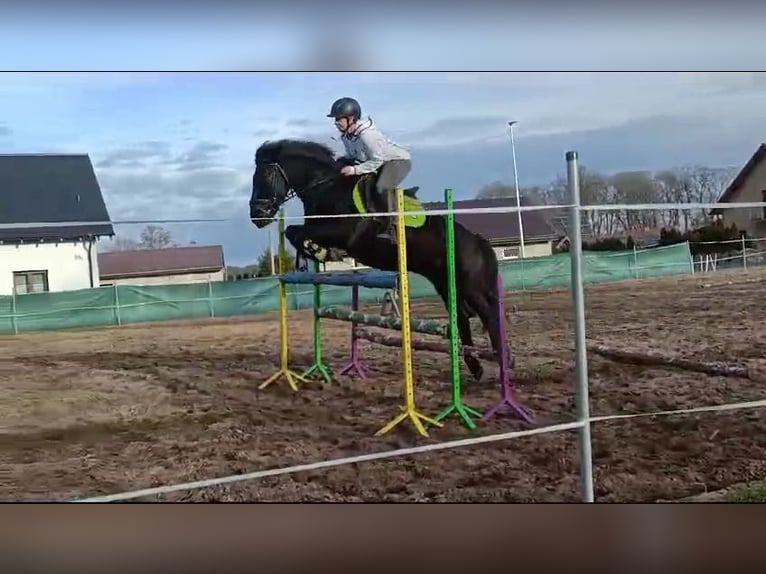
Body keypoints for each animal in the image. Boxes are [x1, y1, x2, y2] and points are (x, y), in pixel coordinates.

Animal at [249, 138, 505, 383]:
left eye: (266, 175)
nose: (256, 216)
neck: (326, 187)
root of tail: (477, 240)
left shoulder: (343, 231)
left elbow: (297, 232)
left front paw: (320, 252)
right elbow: (292, 231)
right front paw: (313, 255)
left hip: (470, 286)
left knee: (489, 316)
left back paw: (502, 364)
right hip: (446, 284)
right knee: (462, 319)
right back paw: (477, 368)